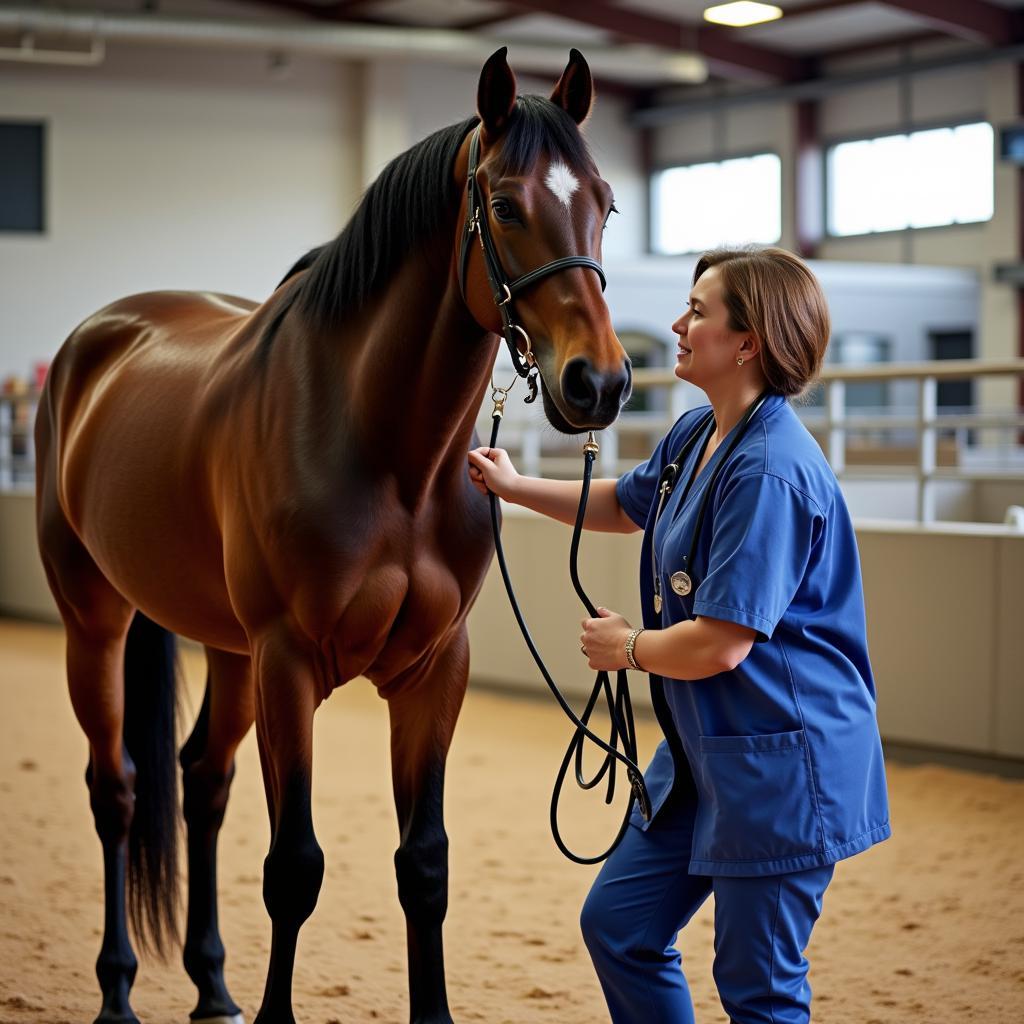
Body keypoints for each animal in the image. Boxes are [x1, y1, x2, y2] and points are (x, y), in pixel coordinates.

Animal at [36, 48, 626, 1024]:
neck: (386, 453)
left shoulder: (433, 670)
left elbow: (424, 864)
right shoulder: (288, 663)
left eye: (606, 203)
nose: (600, 384)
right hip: (97, 621)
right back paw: (118, 991)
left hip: (228, 650)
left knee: (202, 781)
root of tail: (99, 338)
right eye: (506, 205)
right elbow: (294, 867)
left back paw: (212, 986)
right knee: (115, 790)